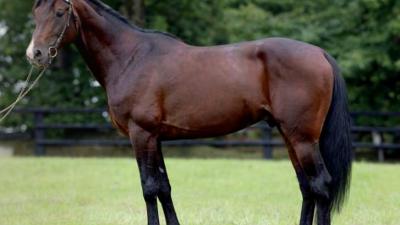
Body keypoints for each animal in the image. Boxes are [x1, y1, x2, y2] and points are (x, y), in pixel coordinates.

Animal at [26, 0, 350, 225]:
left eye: (59, 12)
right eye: (35, 13)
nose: (35, 54)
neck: (131, 57)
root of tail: (320, 53)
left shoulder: (140, 134)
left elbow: (149, 188)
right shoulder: (154, 138)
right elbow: (164, 188)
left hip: (302, 138)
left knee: (321, 185)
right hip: (289, 135)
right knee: (307, 187)